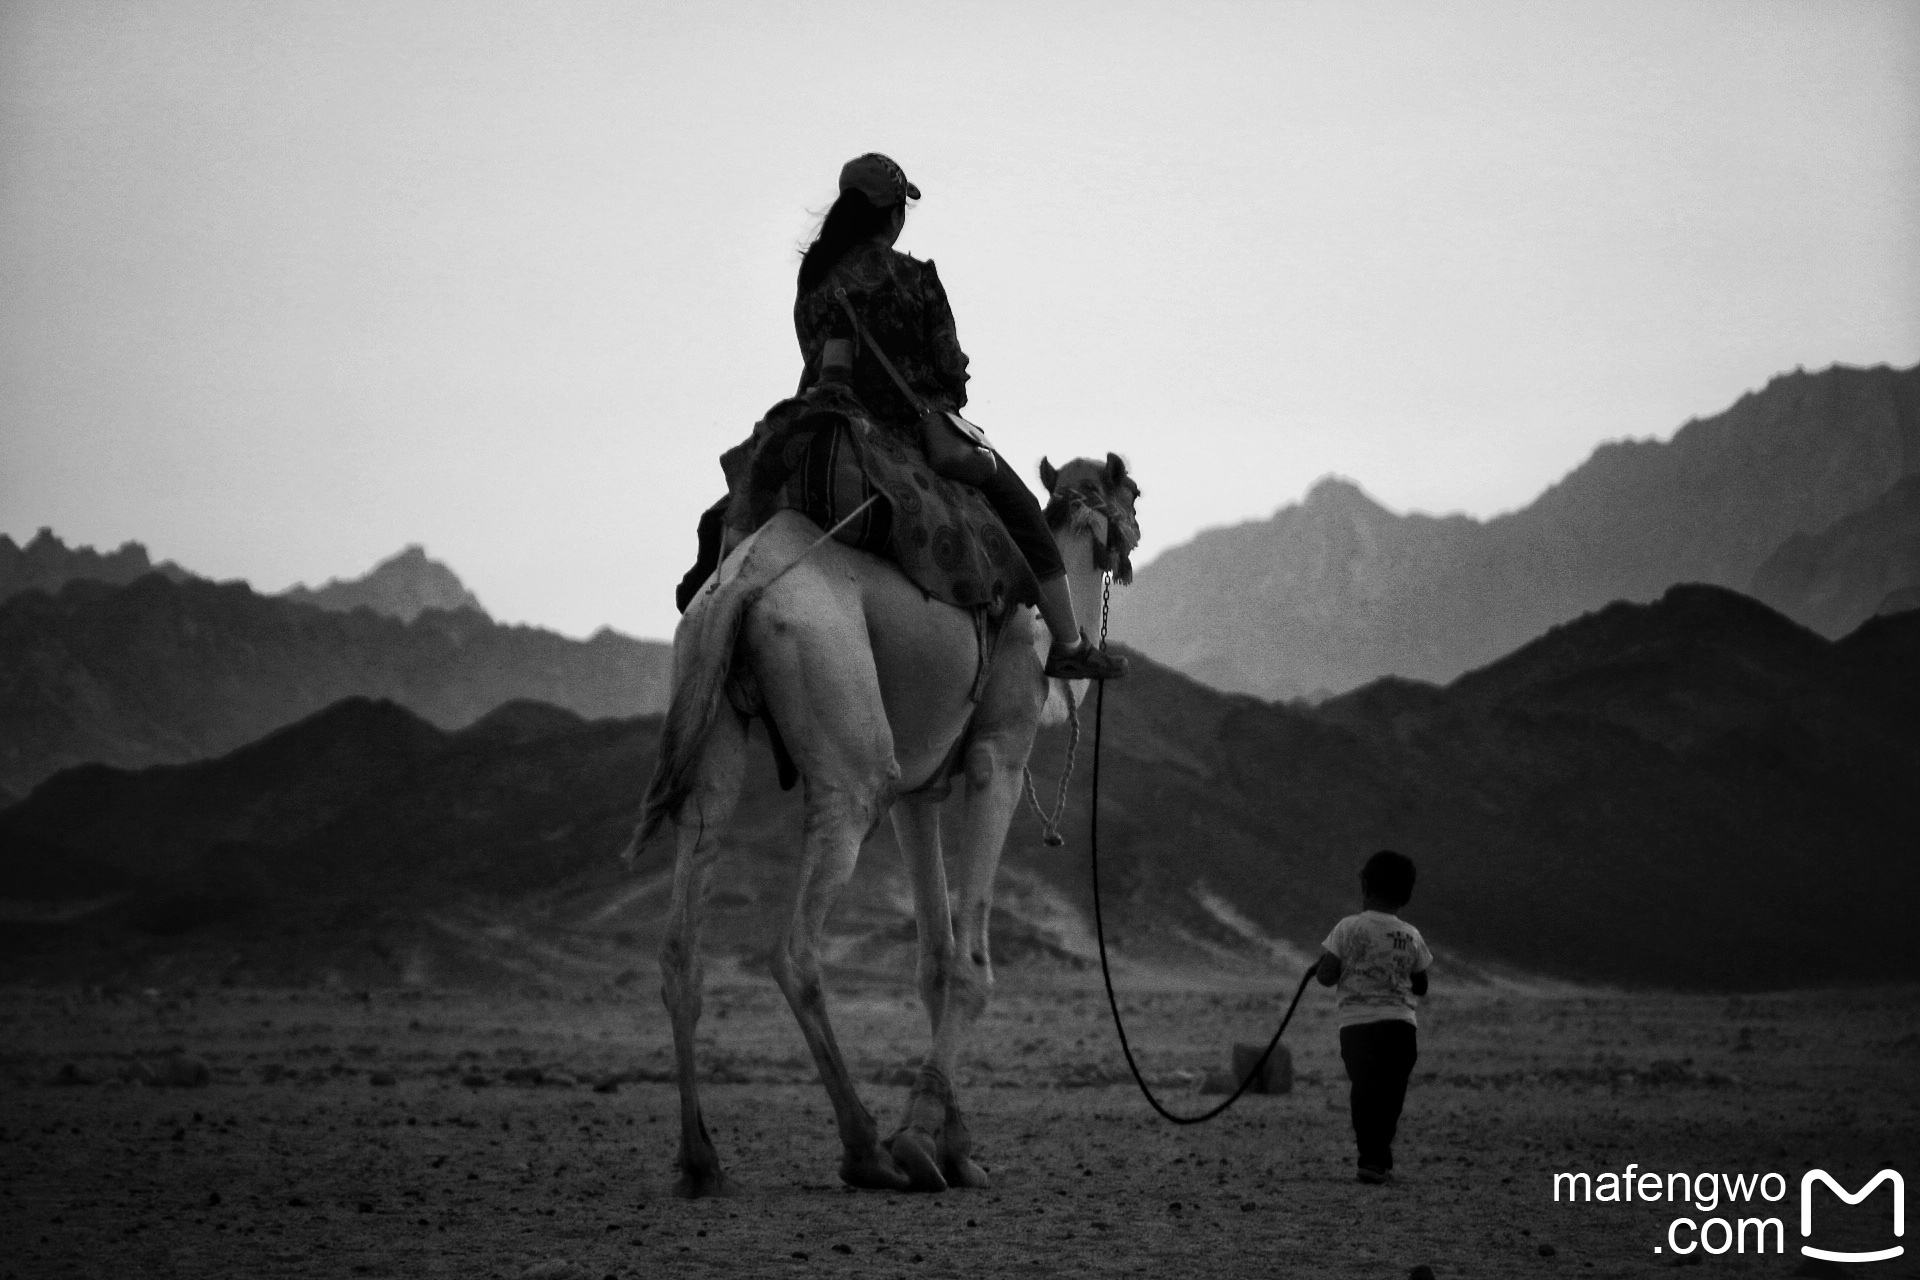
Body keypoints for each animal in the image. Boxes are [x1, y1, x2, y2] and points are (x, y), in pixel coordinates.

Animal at [629, 454, 1136, 1197]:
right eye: (1133, 492)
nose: (1131, 546)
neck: (1043, 625)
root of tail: (743, 581)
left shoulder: (919, 792)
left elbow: (933, 963)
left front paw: (956, 1150)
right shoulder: (998, 756)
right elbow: (970, 964)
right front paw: (921, 1143)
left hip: (709, 713)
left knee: (681, 936)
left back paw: (702, 1162)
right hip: (845, 735)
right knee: (795, 947)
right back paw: (865, 1149)